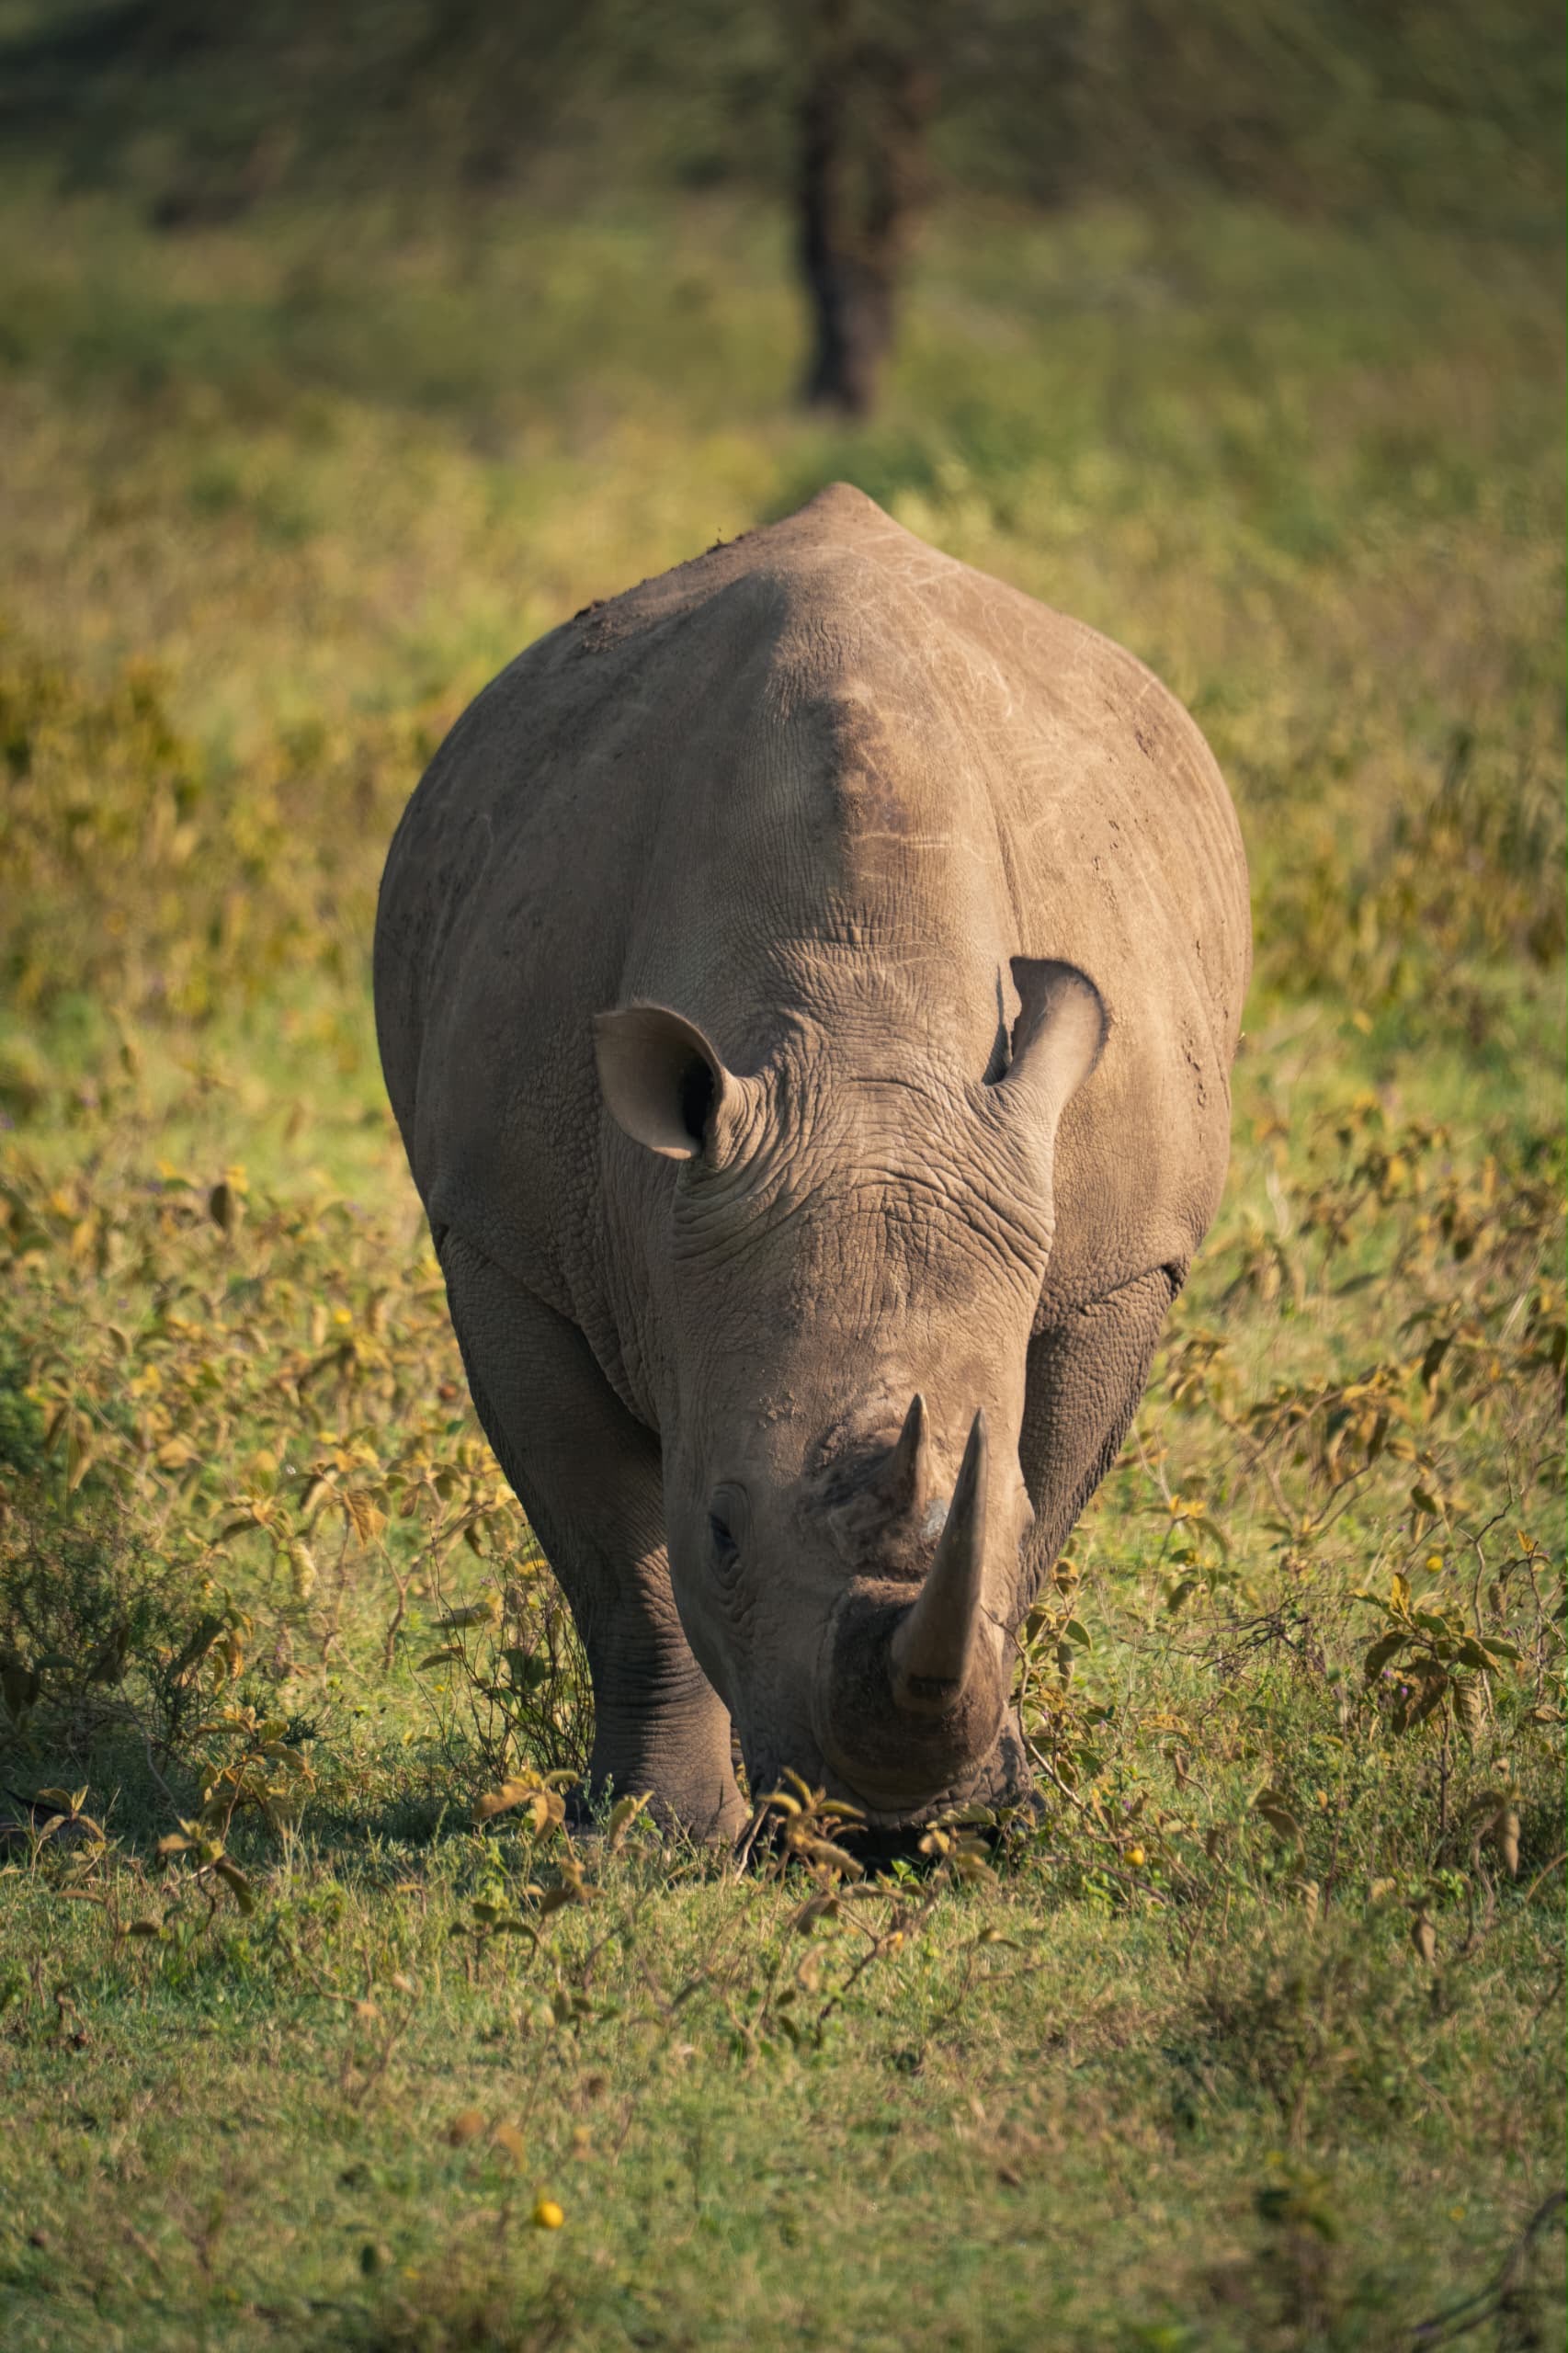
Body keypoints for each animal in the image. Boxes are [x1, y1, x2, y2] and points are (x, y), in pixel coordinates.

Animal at [374, 484, 1250, 1842]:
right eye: (724, 1530)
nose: (884, 1820)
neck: (860, 1049)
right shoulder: (500, 1237)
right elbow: (623, 1565)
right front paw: (659, 1835)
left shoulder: (1125, 1259)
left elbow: (1041, 1508)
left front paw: (993, 1812)